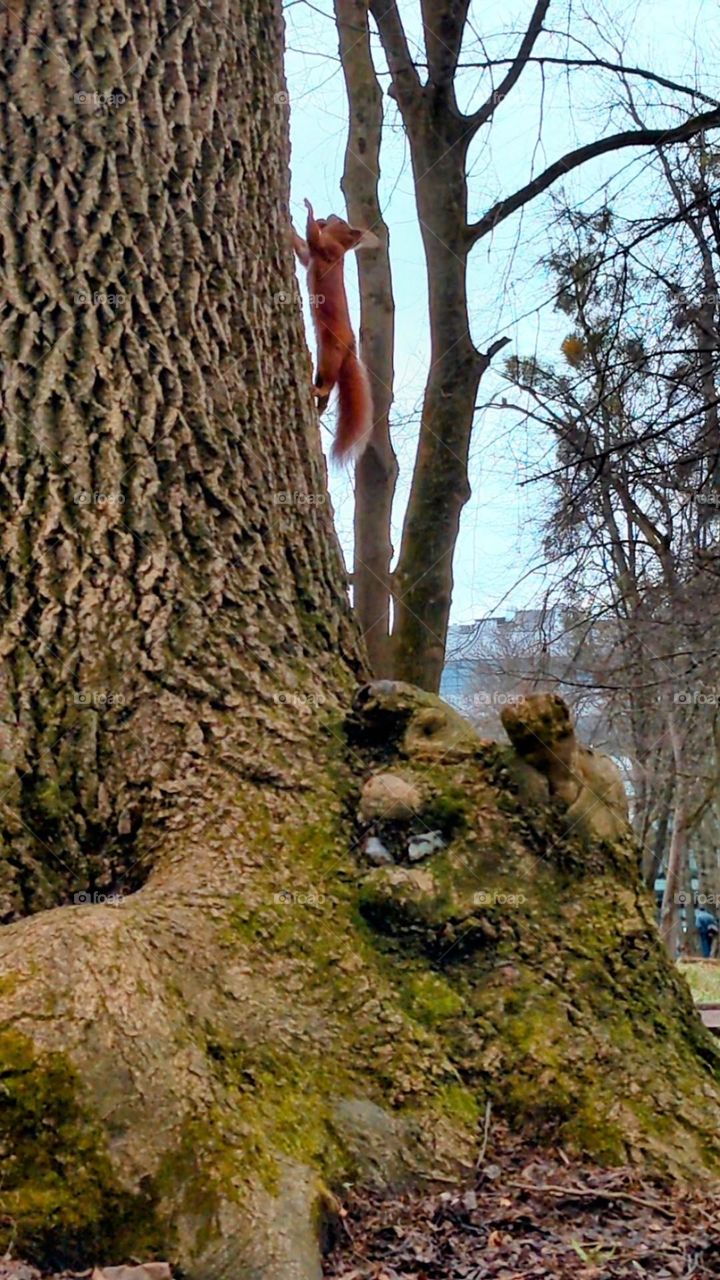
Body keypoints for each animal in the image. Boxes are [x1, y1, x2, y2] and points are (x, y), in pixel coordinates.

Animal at [292, 199, 378, 461]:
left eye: (340, 222)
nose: (329, 215)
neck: (341, 247)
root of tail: (350, 348)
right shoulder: (313, 255)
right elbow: (303, 251)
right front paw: (290, 228)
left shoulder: (327, 250)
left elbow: (312, 238)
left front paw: (308, 211)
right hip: (324, 362)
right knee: (327, 391)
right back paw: (318, 407)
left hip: (330, 354)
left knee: (328, 385)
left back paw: (317, 394)